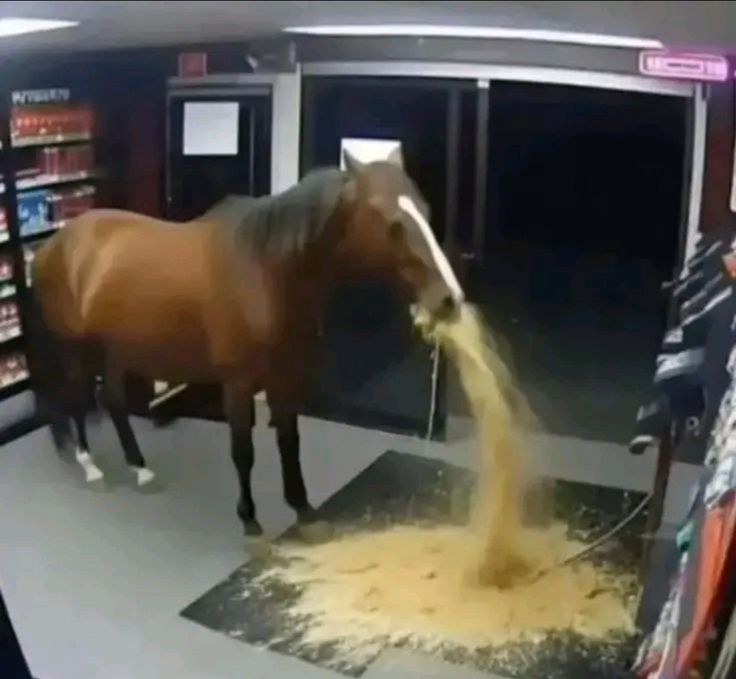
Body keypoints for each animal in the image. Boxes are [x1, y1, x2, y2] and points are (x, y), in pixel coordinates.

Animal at [28, 148, 464, 537]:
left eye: (425, 211)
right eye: (391, 223)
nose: (449, 298)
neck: (265, 270)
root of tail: (53, 246)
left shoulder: (287, 377)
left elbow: (289, 440)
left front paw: (303, 508)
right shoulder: (238, 385)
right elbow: (244, 452)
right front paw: (249, 518)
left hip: (117, 348)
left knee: (114, 401)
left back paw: (141, 469)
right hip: (75, 349)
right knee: (76, 401)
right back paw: (91, 466)